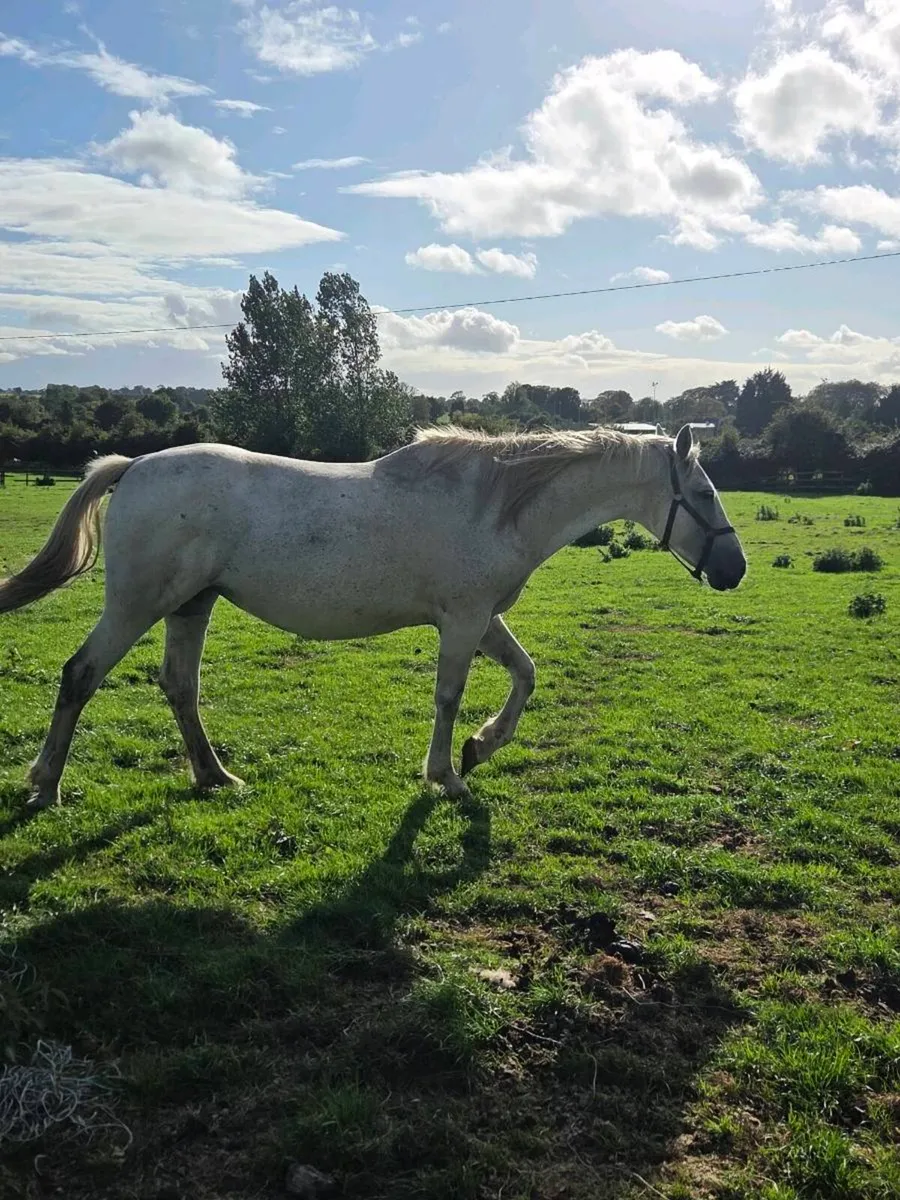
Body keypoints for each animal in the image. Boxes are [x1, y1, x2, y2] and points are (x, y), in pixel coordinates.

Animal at [0, 423, 745, 809]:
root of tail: (134, 465)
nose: (735, 571)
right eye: (707, 493)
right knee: (80, 675)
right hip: (138, 605)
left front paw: (481, 747)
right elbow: (449, 697)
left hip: (192, 605)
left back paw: (215, 776)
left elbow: (526, 675)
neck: (496, 504)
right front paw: (447, 775)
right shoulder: (463, 621)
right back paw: (45, 785)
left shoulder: (481, 619)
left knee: (181, 688)